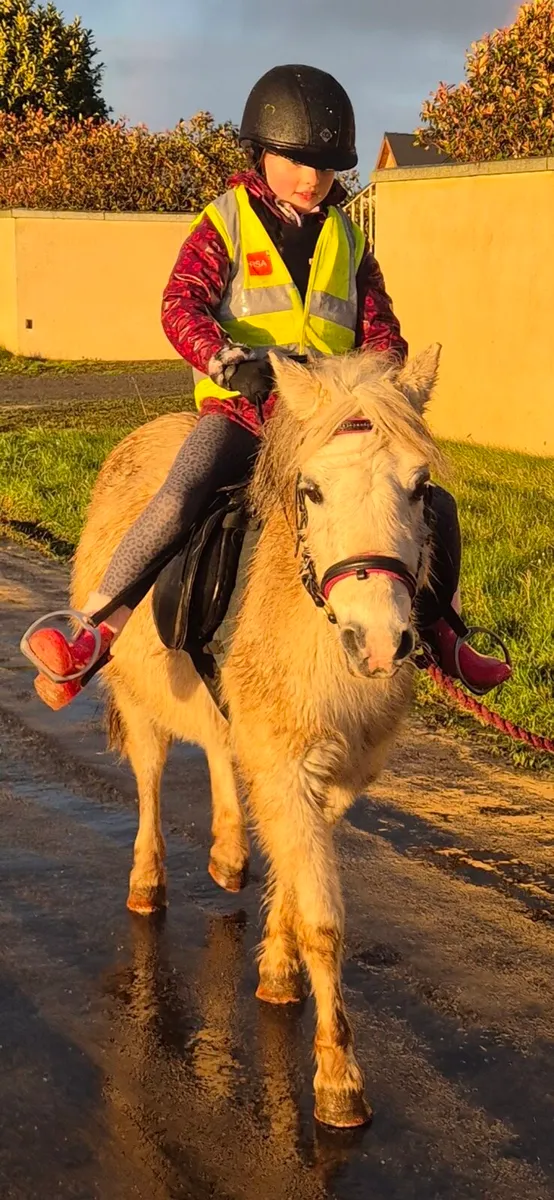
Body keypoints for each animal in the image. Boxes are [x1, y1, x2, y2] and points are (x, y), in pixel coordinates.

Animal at [72, 343, 443, 1127]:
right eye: (313, 491)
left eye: (420, 486)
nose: (379, 642)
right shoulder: (286, 766)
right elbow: (325, 918)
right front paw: (338, 1079)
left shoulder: (332, 776)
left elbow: (297, 875)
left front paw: (276, 968)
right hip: (138, 697)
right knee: (150, 780)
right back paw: (147, 883)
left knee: (217, 748)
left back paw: (226, 851)